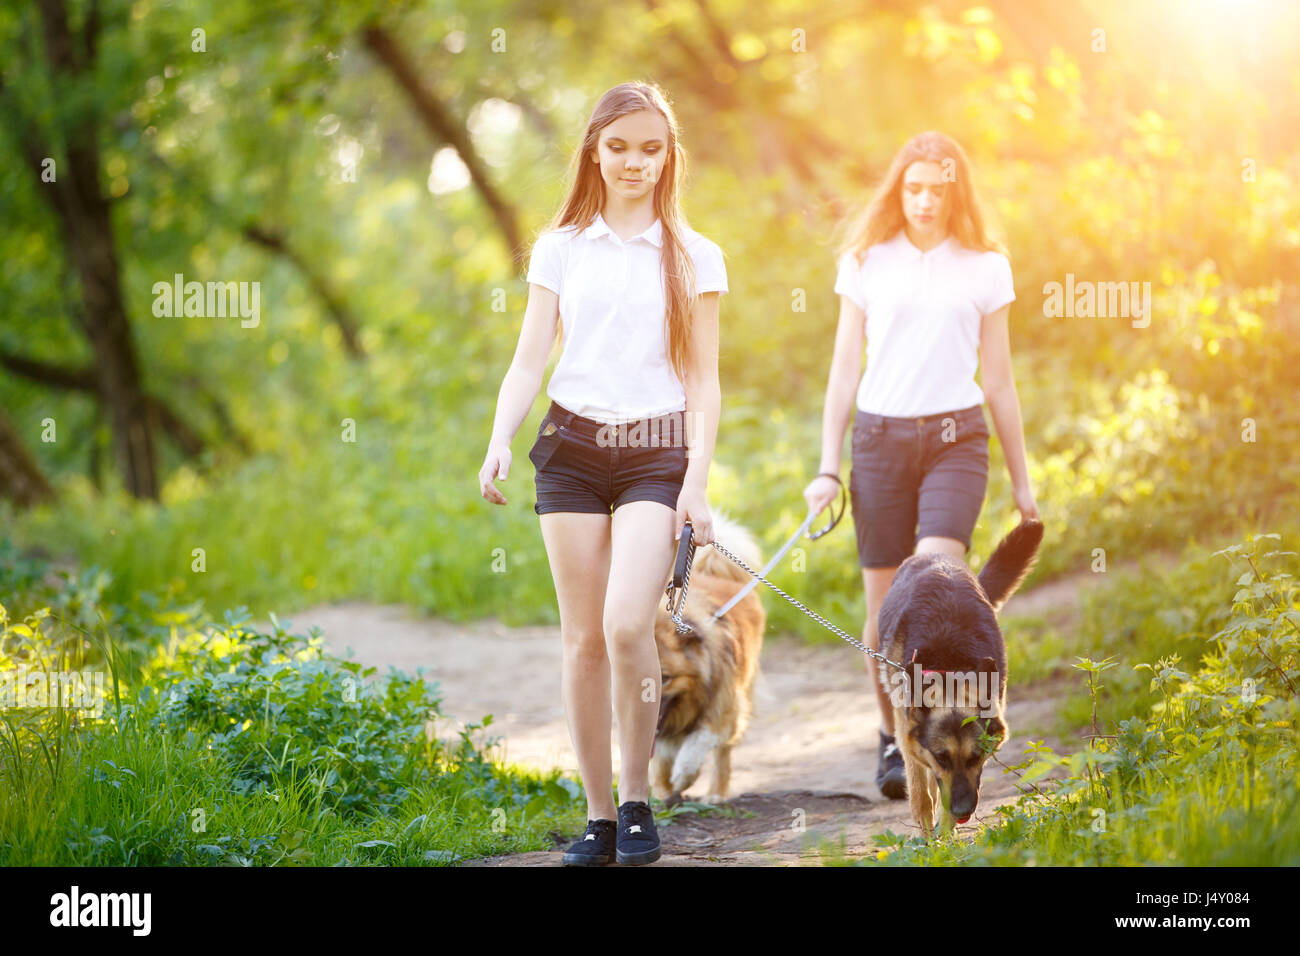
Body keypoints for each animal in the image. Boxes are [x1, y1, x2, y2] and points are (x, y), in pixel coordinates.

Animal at [647, 509, 759, 806]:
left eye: (666, 678)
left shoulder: (725, 706)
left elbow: (699, 743)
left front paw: (683, 778)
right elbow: (658, 759)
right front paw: (663, 793)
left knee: (722, 755)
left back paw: (715, 795)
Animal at [873, 520, 1045, 842]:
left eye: (976, 756)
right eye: (942, 758)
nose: (963, 810)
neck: (950, 668)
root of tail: (933, 555)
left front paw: (944, 837)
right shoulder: (907, 729)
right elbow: (921, 792)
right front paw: (929, 840)